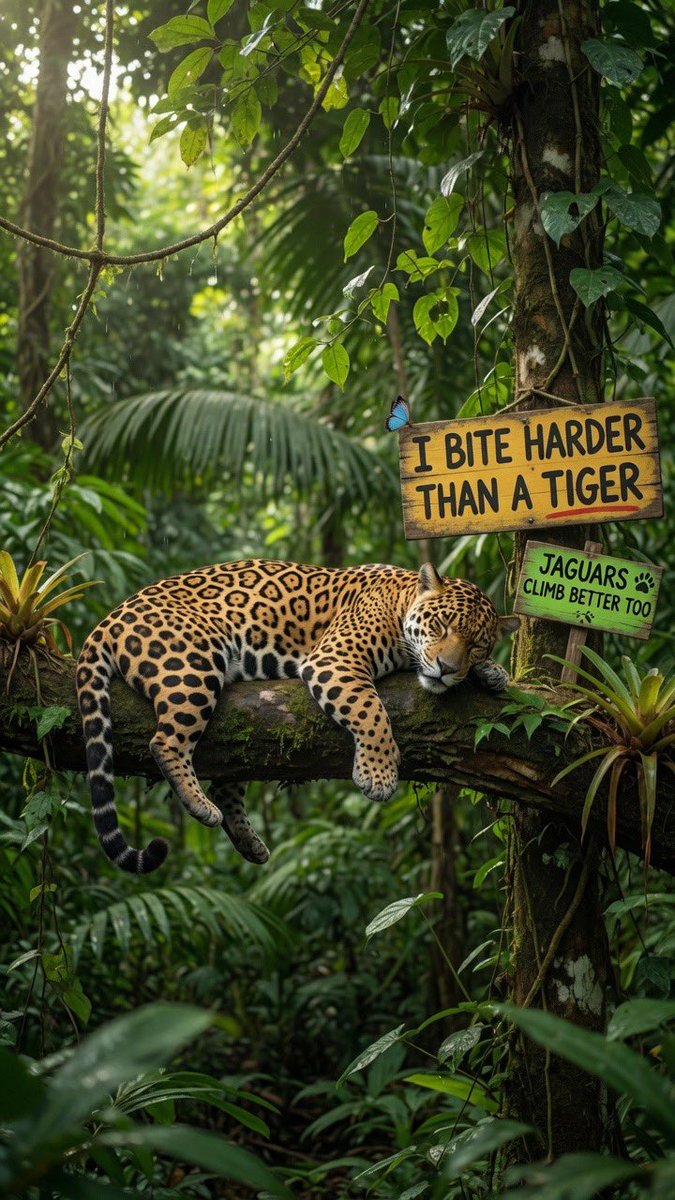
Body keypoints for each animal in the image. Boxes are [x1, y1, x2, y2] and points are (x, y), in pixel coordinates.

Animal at [76, 559, 519, 874]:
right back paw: (200, 804)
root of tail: (109, 617)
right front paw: (378, 775)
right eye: (441, 625)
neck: (401, 596)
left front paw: (494, 671)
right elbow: (371, 711)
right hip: (191, 666)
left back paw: (249, 842)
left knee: (227, 778)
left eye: (477, 645)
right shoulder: (335, 659)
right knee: (164, 742)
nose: (446, 668)